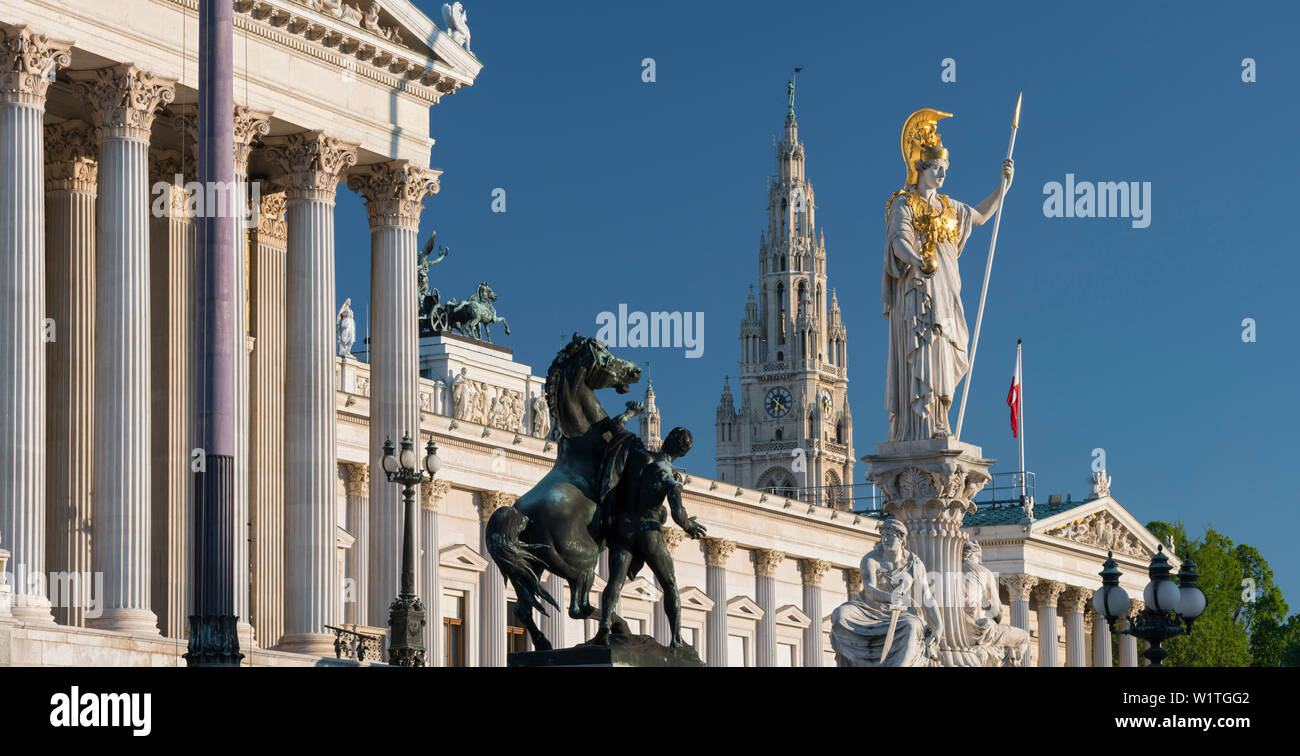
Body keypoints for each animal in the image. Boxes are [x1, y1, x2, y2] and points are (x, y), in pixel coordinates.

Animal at [486, 335, 642, 652]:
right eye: (606, 357)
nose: (635, 370)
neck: (585, 440)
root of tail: (519, 513)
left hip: (533, 567)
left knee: (524, 608)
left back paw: (545, 643)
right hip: (583, 560)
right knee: (578, 608)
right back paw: (616, 629)